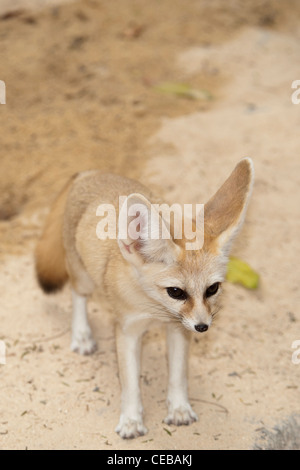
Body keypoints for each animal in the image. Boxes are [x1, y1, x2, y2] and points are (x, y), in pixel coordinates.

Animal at [36, 158, 254, 436]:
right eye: (176, 292)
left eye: (212, 289)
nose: (203, 327)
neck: (153, 308)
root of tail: (90, 172)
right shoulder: (128, 330)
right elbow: (130, 382)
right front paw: (131, 420)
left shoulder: (179, 328)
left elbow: (178, 374)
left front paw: (179, 409)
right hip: (82, 277)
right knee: (77, 296)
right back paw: (82, 335)